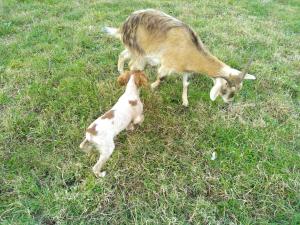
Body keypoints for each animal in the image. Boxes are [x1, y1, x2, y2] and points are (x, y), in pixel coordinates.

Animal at [103, 9, 255, 106]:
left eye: (239, 88)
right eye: (225, 89)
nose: (229, 101)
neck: (189, 49)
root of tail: (124, 25)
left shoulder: (186, 70)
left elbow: (185, 84)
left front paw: (185, 102)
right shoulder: (167, 64)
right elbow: (162, 77)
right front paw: (151, 87)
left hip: (135, 49)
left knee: (123, 55)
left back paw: (120, 71)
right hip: (138, 51)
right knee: (133, 66)